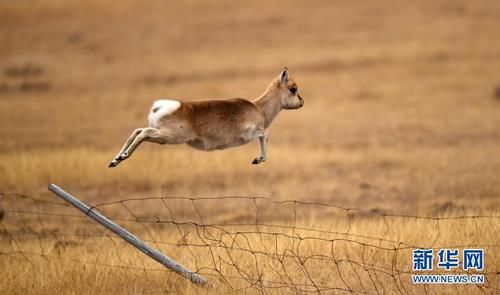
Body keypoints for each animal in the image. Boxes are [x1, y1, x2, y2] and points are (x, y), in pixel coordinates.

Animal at [109, 67, 302, 169]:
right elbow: (265, 135)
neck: (258, 108)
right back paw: (122, 156)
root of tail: (164, 106)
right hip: (167, 137)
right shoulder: (252, 133)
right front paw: (258, 159)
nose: (302, 102)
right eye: (293, 88)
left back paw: (115, 160)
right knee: (143, 132)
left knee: (137, 130)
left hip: (161, 134)